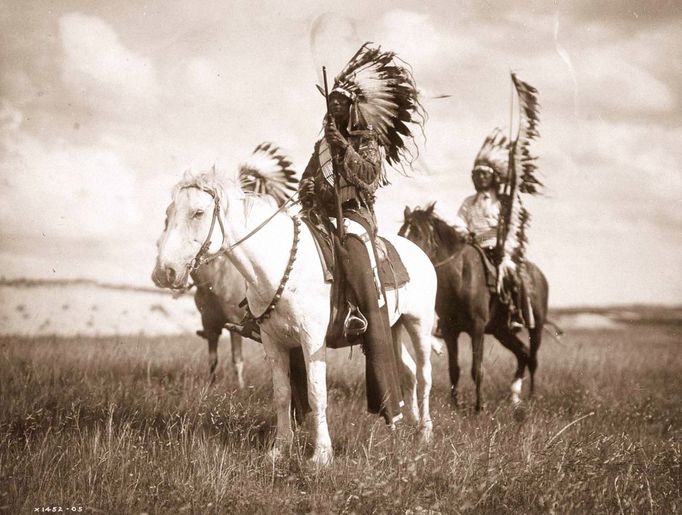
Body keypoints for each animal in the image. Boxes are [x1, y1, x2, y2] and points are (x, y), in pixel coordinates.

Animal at [151, 169, 432, 468]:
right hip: (394, 328)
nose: (164, 272)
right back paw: (404, 424)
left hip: (419, 326)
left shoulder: (312, 341)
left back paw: (424, 432)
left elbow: (317, 394)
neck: (278, 265)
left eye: (198, 212)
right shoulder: (274, 343)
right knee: (408, 371)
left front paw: (321, 455)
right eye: (168, 213)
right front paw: (280, 448)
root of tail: (419, 252)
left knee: (424, 374)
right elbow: (282, 394)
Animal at [398, 205, 548, 412]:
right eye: (400, 233)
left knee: (533, 359)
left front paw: (479, 407)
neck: (461, 276)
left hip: (536, 328)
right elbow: (454, 369)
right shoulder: (450, 330)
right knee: (522, 353)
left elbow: (477, 369)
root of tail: (540, 276)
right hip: (502, 331)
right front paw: (456, 405)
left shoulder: (477, 328)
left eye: (418, 233)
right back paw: (515, 398)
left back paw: (531, 397)